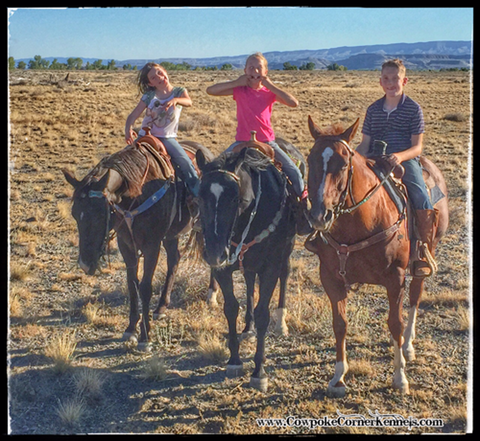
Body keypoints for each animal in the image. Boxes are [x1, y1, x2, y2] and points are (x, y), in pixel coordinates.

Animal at [62, 139, 218, 348]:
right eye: (74, 214)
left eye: (100, 214)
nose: (85, 264)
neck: (137, 192)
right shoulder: (126, 244)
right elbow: (132, 284)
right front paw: (130, 329)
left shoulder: (151, 245)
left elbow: (145, 287)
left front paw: (145, 336)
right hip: (171, 235)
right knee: (174, 260)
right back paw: (161, 306)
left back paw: (212, 295)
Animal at [197, 146, 298, 390]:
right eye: (200, 195)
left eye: (235, 197)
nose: (214, 252)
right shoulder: (223, 269)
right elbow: (231, 308)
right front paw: (234, 360)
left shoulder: (270, 267)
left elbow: (263, 313)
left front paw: (259, 371)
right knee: (250, 281)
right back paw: (248, 328)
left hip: (286, 252)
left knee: (285, 275)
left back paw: (281, 323)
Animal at [306, 114, 448, 396]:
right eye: (309, 160)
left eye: (343, 164)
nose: (319, 216)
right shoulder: (331, 279)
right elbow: (340, 324)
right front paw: (338, 376)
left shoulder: (395, 278)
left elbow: (395, 323)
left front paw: (400, 377)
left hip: (425, 256)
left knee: (416, 296)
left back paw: (408, 346)